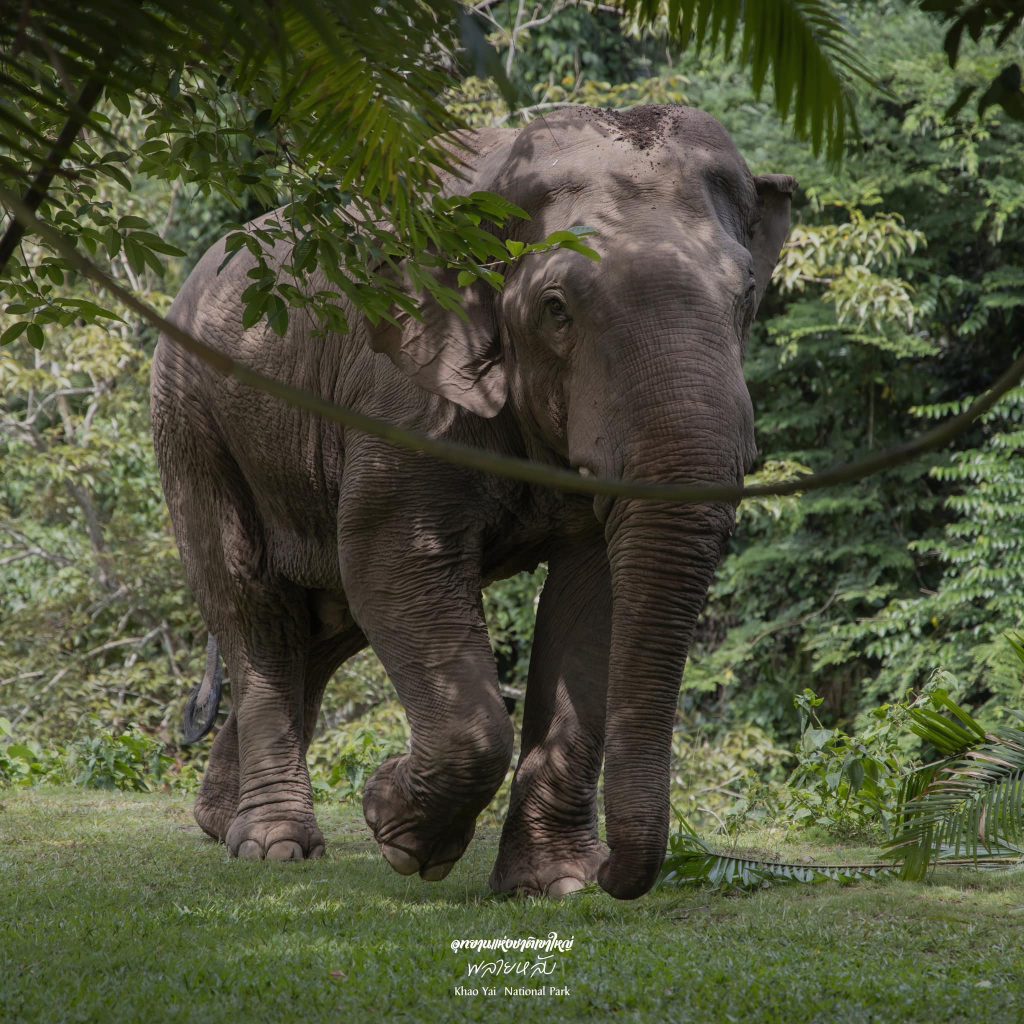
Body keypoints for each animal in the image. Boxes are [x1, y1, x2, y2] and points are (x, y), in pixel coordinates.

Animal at [149, 103, 790, 897]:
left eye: (747, 295)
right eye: (556, 308)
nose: (612, 871)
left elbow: (594, 596)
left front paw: (551, 886)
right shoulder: (404, 398)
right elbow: (390, 559)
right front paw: (396, 829)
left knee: (323, 625)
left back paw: (220, 822)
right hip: (192, 416)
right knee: (253, 601)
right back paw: (273, 845)